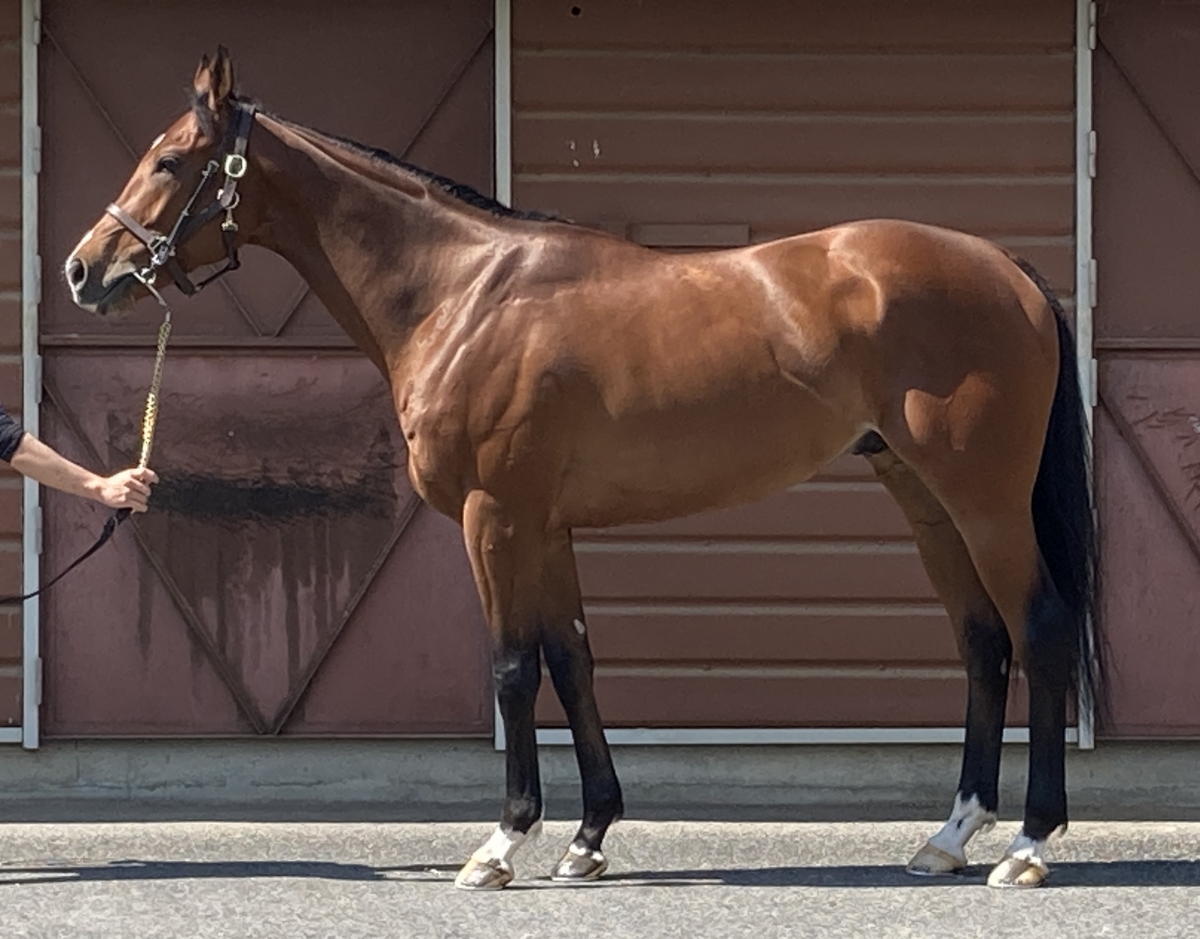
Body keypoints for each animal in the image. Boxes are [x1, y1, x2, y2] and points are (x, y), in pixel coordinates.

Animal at [64, 47, 1100, 891]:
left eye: (168, 160)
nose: (83, 270)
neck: (465, 293)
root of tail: (1004, 266)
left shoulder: (494, 516)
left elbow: (513, 667)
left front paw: (502, 843)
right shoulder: (547, 523)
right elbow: (574, 660)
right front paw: (589, 837)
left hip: (984, 500)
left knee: (1040, 628)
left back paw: (1028, 845)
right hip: (926, 499)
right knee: (982, 641)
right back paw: (950, 835)